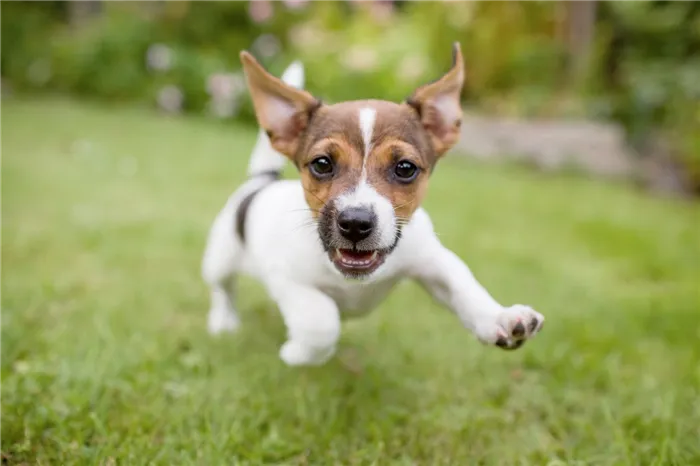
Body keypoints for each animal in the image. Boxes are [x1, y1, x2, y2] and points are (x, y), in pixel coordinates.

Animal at [200, 41, 544, 366]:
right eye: (322, 164)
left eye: (405, 168)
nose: (355, 223)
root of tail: (262, 180)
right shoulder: (287, 278)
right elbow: (321, 320)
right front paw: (298, 353)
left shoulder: (433, 260)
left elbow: (464, 286)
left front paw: (500, 318)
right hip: (220, 257)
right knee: (222, 289)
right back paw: (223, 321)